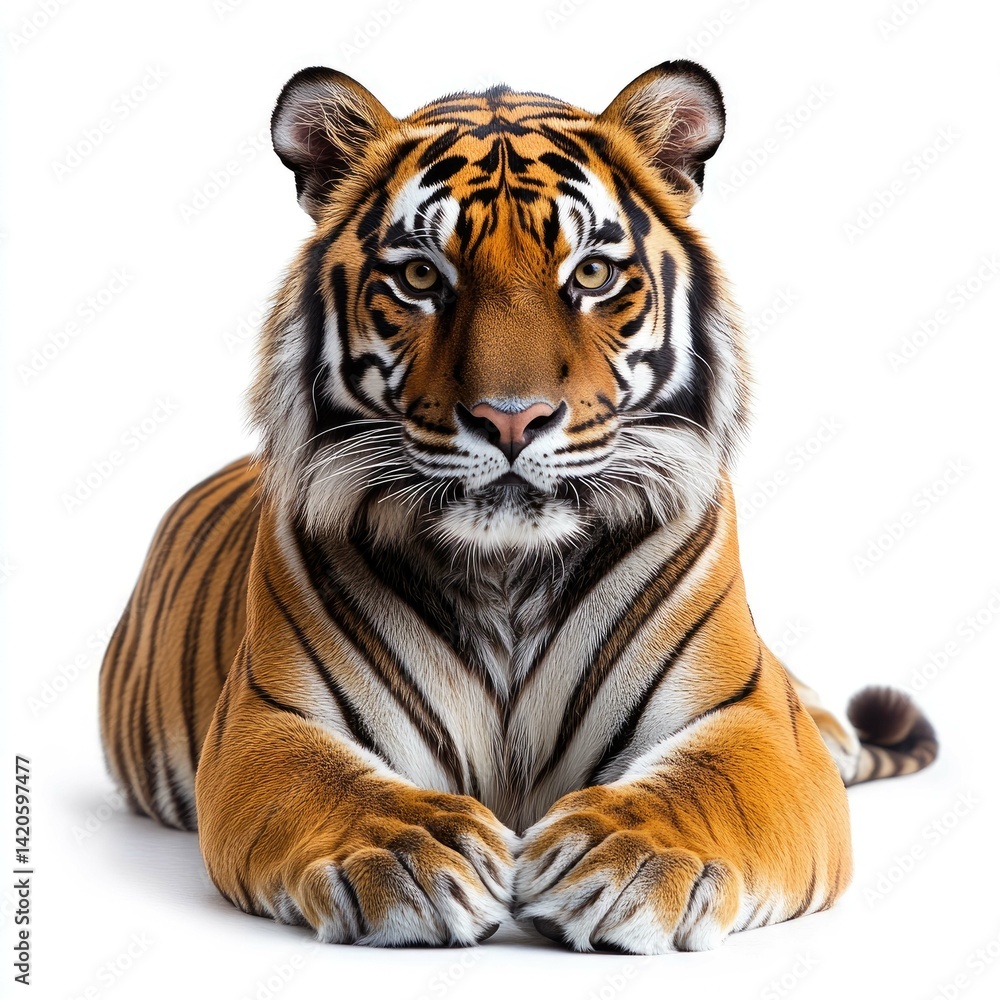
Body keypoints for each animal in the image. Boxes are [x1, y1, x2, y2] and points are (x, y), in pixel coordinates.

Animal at [98, 60, 938, 954]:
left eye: (592, 274)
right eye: (421, 277)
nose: (511, 419)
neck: (507, 573)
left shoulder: (755, 722)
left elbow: (705, 783)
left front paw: (625, 857)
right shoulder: (267, 721)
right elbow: (333, 786)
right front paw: (412, 850)